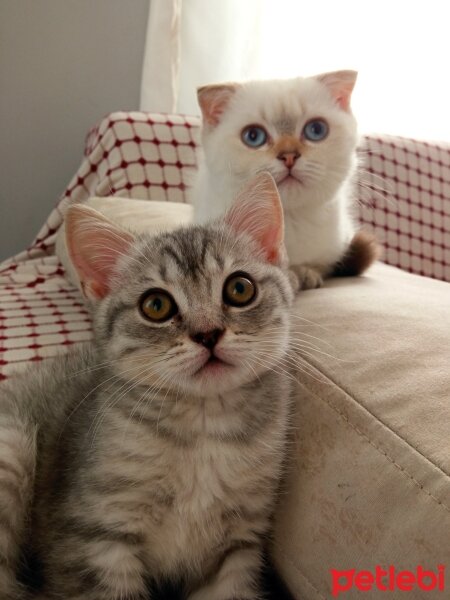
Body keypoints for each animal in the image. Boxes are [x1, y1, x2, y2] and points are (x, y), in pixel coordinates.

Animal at [0, 172, 294, 600]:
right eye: (156, 305)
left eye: (240, 289)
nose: (208, 334)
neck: (203, 431)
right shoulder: (95, 538)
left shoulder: (238, 547)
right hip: (12, 445)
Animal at [192, 69, 378, 290]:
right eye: (253, 136)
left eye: (316, 130)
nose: (289, 155)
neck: (286, 219)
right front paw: (292, 276)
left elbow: (319, 266)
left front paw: (305, 274)